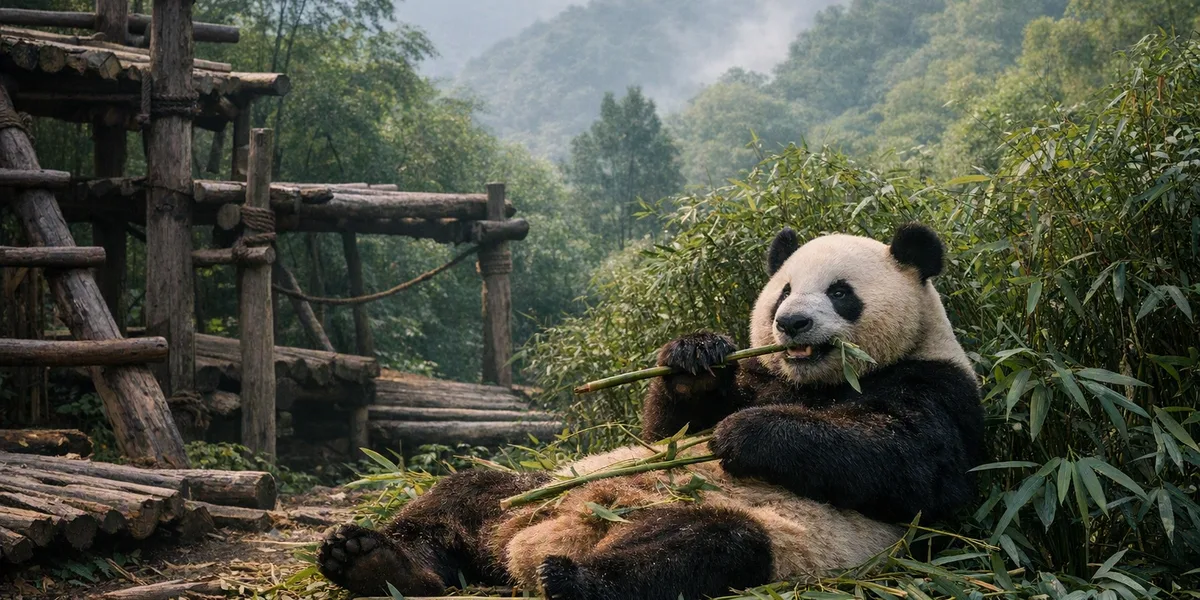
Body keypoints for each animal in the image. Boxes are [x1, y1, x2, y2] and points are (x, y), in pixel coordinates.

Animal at [317, 223, 986, 600]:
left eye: (841, 293)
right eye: (785, 291)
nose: (790, 323)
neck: (810, 383)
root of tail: (527, 544)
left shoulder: (939, 386)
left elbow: (911, 466)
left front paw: (744, 435)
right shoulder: (758, 375)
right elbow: (666, 429)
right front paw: (694, 356)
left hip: (771, 536)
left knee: (698, 548)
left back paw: (572, 580)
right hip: (531, 490)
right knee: (463, 493)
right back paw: (372, 561)